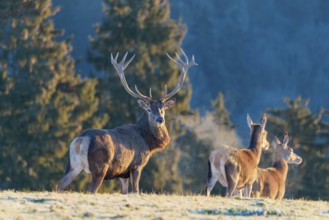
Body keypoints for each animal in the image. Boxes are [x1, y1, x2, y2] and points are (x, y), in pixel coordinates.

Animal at [56, 49, 196, 193]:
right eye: (149, 109)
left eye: (162, 109)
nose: (160, 119)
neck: (147, 143)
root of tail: (81, 139)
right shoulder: (136, 165)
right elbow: (135, 191)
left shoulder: (122, 174)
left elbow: (125, 192)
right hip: (100, 166)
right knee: (91, 190)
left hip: (72, 165)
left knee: (60, 184)